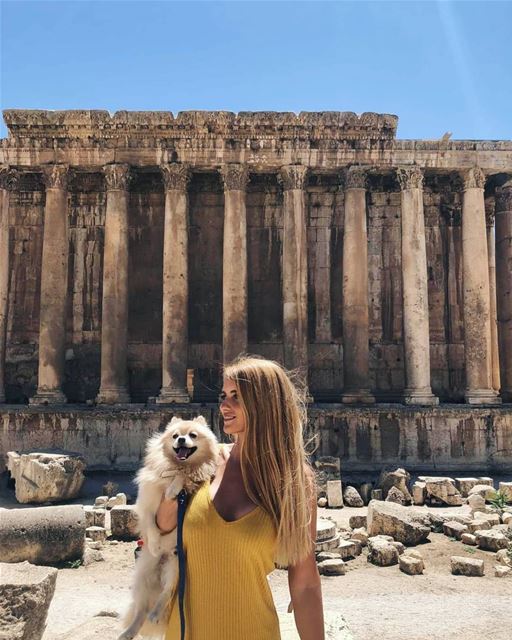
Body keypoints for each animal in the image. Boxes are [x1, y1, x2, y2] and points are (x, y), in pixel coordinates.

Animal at [119, 416, 221, 640]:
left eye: (193, 435)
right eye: (175, 436)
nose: (181, 439)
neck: (178, 464)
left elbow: (184, 477)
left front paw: (174, 488)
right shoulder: (148, 506)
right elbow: (151, 525)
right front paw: (155, 545)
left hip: (175, 568)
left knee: (165, 595)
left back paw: (156, 615)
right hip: (142, 578)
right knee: (140, 610)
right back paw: (128, 632)